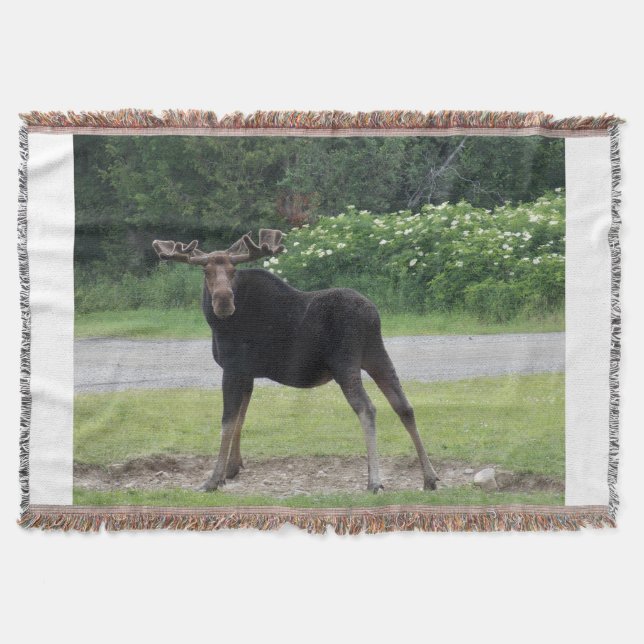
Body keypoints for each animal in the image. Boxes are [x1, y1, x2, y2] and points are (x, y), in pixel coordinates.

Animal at [152, 229, 439, 493]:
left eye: (233, 270)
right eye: (206, 271)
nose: (223, 301)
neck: (218, 324)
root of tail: (372, 315)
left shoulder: (233, 368)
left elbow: (227, 421)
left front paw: (213, 479)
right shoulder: (247, 374)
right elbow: (240, 418)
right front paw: (232, 468)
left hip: (345, 363)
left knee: (367, 408)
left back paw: (374, 481)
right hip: (376, 355)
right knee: (404, 406)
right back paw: (429, 477)